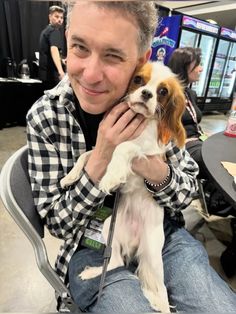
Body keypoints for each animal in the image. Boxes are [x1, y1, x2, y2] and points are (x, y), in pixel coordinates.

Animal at [60, 61, 186, 312]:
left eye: (162, 91)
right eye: (138, 80)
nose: (146, 94)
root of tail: (134, 244)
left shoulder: (147, 152)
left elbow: (124, 147)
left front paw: (111, 177)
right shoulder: (104, 149)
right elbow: (86, 155)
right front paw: (69, 177)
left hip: (153, 255)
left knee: (162, 292)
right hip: (111, 226)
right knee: (116, 261)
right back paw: (92, 273)